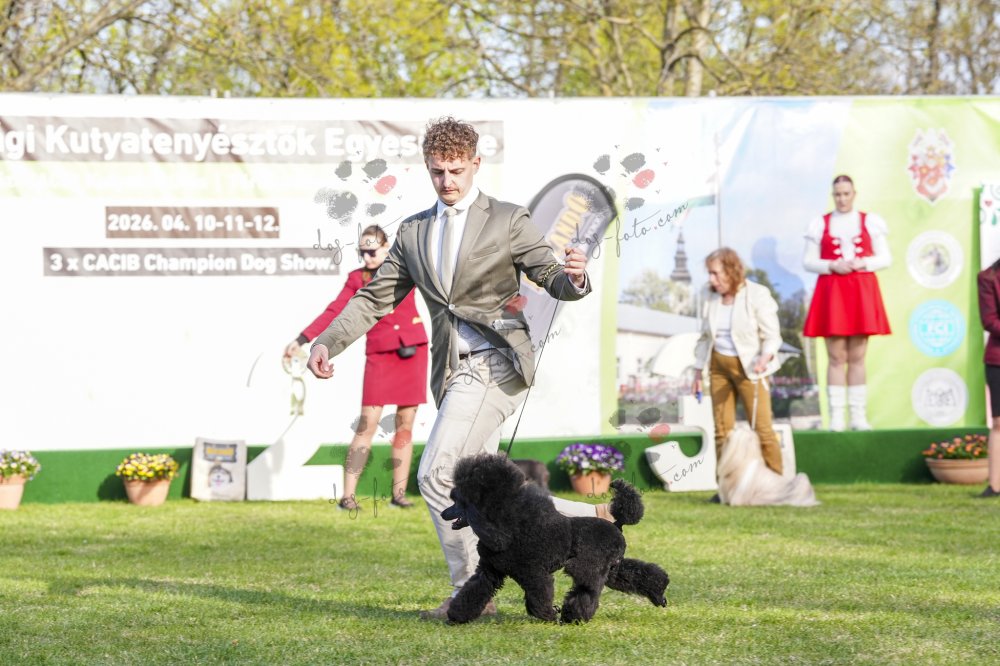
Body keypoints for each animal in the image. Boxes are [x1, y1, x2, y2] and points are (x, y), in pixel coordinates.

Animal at [440, 453, 669, 624]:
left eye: (459, 501)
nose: (443, 513)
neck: (508, 526)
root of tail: (616, 524)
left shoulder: (533, 573)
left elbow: (539, 597)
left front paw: (549, 615)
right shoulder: (489, 571)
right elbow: (474, 590)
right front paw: (456, 615)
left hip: (590, 566)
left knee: (588, 589)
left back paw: (573, 617)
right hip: (612, 568)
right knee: (637, 574)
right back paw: (659, 595)